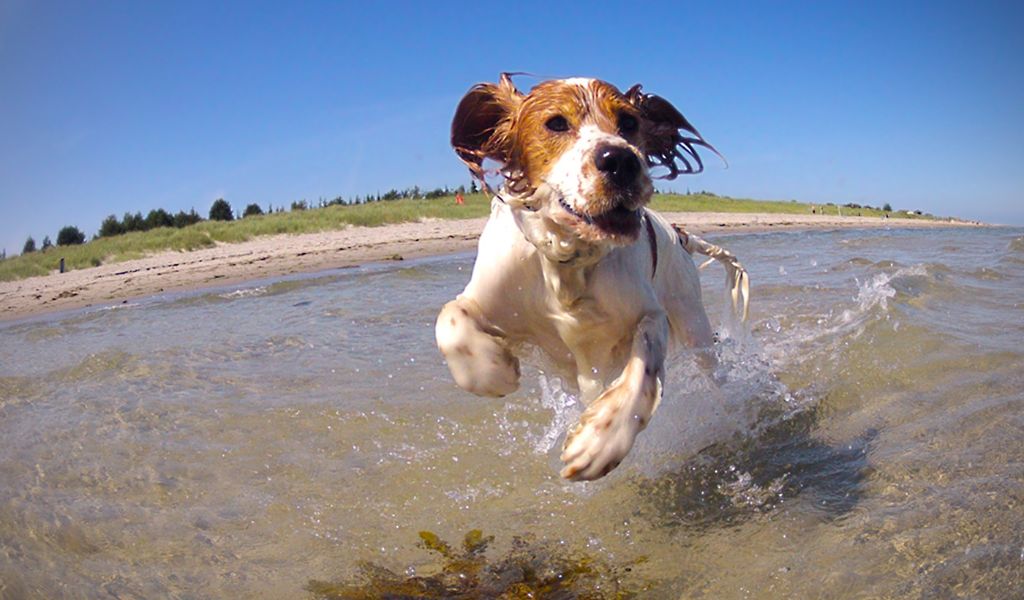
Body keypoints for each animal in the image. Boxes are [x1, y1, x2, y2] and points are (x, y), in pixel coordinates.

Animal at [436, 74, 749, 479]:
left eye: (629, 122)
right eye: (555, 123)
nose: (621, 160)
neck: (570, 261)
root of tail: (680, 233)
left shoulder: (648, 315)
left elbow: (643, 367)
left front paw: (601, 441)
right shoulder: (490, 296)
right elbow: (451, 318)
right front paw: (493, 371)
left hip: (693, 322)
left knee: (713, 370)